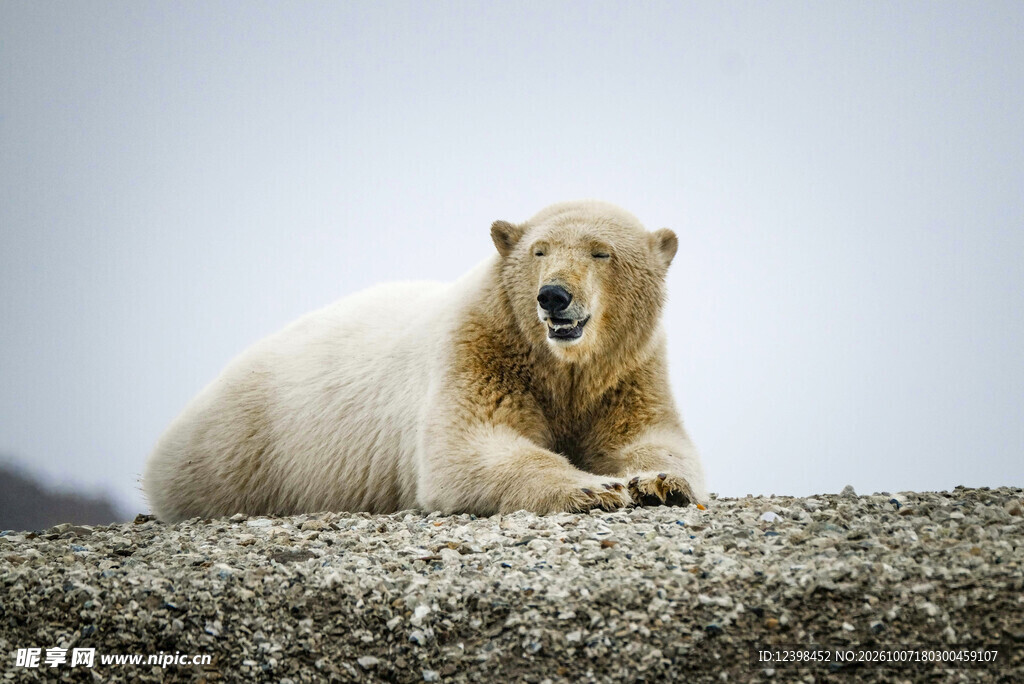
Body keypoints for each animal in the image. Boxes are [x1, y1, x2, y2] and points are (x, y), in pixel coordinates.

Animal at [143, 200, 708, 522]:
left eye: (600, 252)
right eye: (540, 251)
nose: (553, 296)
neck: (558, 364)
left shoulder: (628, 372)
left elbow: (650, 437)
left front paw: (657, 483)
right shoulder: (480, 350)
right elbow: (468, 446)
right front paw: (595, 488)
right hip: (245, 448)